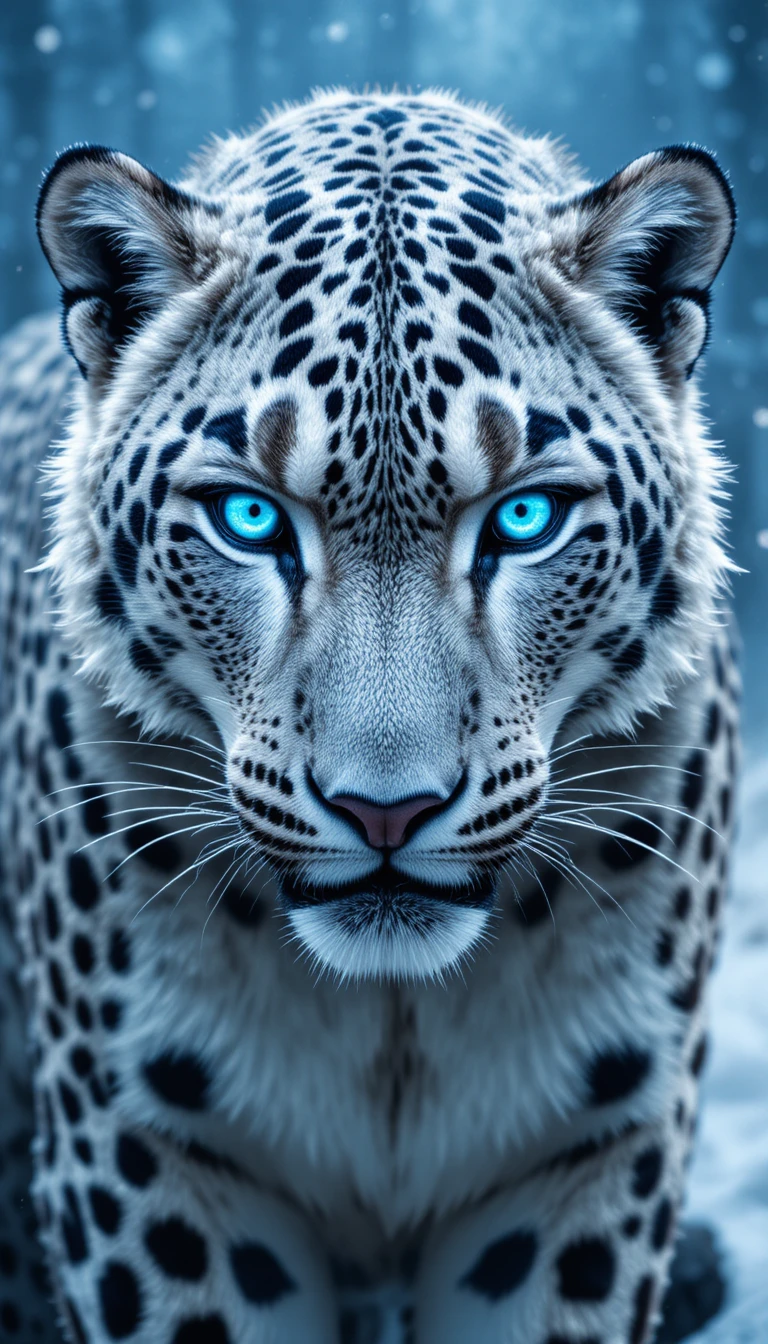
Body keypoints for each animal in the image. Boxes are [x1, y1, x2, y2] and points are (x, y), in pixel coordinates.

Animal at [0, 89, 740, 1344]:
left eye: (526, 519)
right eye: (249, 519)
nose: (384, 811)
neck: (394, 1026)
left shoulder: (586, 1150)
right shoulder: (146, 1145)